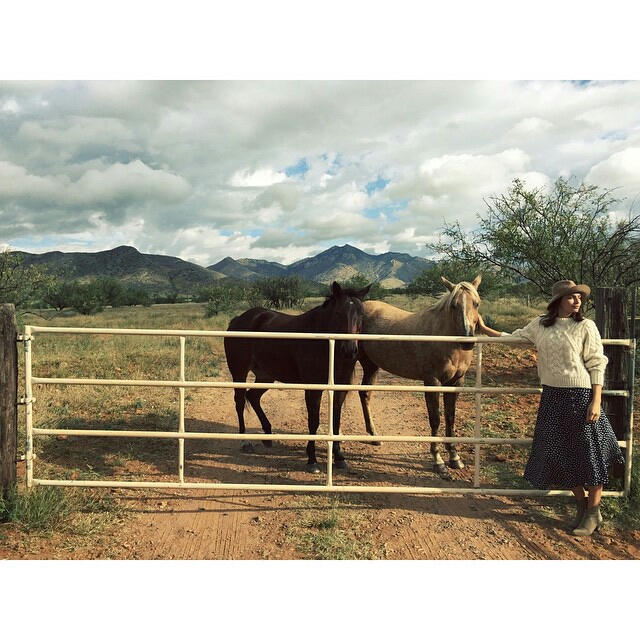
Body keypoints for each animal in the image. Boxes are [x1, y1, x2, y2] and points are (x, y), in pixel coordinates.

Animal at [224, 282, 370, 472]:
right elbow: (314, 421)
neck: (324, 342)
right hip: (239, 373)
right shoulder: (313, 389)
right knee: (240, 402)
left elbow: (336, 421)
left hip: (265, 376)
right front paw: (312, 460)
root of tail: (237, 320)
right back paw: (245, 442)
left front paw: (339, 458)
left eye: (362, 313)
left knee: (253, 397)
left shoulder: (340, 388)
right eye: (339, 312)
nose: (350, 350)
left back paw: (267, 435)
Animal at [358, 276, 482, 476]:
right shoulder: (432, 381)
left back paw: (374, 436)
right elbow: (435, 419)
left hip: (371, 366)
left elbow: (450, 418)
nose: (467, 341)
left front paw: (454, 457)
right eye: (453, 305)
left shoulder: (455, 382)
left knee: (365, 395)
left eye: (476, 303)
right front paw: (438, 460)